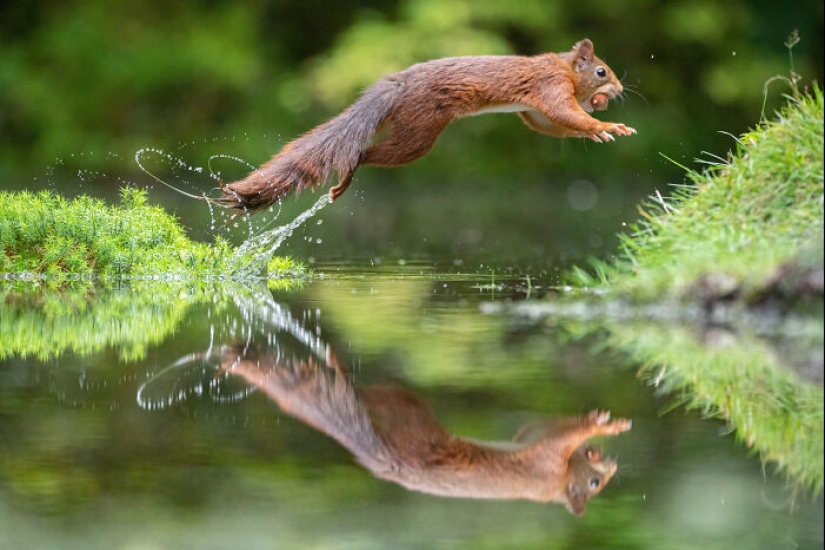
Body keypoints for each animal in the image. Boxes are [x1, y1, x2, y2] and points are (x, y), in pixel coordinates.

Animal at [219, 38, 635, 212]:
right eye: (602, 71)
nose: (618, 90)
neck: (565, 67)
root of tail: (400, 84)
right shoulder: (550, 85)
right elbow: (566, 113)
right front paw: (609, 125)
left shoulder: (534, 111)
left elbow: (550, 124)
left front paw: (599, 128)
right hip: (420, 133)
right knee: (366, 153)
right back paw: (348, 175)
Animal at [221, 344, 632, 515]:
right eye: (595, 483)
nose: (614, 466)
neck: (556, 487)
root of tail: (385, 461)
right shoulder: (545, 463)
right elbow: (565, 434)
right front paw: (605, 425)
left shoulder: (530, 435)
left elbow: (543, 424)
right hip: (412, 421)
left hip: (404, 406)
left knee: (371, 394)